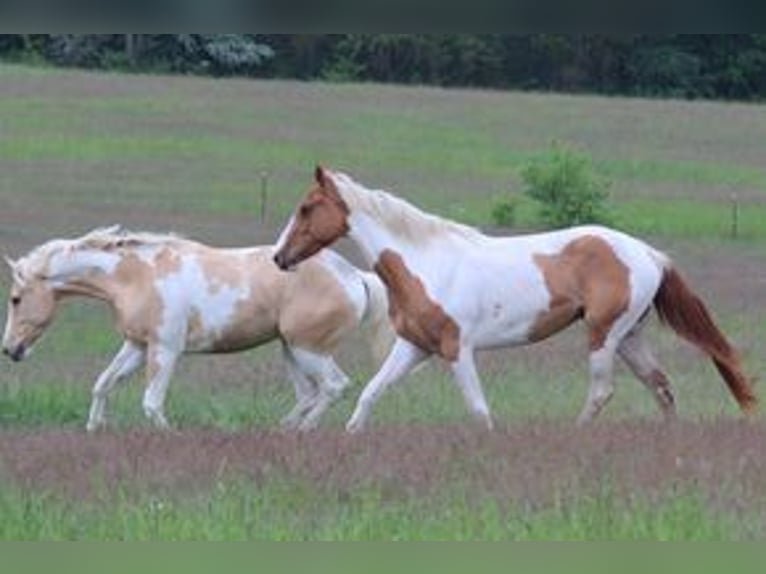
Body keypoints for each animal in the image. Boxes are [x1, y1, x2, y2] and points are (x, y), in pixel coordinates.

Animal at [2, 226, 393, 431]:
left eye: (16, 299)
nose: (9, 350)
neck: (136, 277)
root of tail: (355, 277)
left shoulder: (165, 350)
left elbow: (151, 403)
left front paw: (168, 436)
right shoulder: (137, 346)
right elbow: (103, 384)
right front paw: (94, 429)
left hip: (307, 349)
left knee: (334, 386)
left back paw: (304, 431)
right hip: (290, 349)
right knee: (309, 394)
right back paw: (284, 430)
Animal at [273, 166, 758, 432]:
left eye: (306, 207)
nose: (280, 257)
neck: (425, 263)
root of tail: (648, 253)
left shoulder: (457, 348)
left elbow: (478, 410)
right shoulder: (414, 347)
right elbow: (370, 394)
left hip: (603, 335)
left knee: (603, 391)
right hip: (631, 337)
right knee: (662, 388)